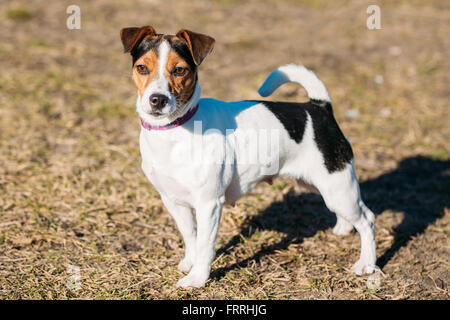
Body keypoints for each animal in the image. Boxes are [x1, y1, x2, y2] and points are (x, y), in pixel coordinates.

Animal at [120, 26, 380, 288]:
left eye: (179, 70)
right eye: (142, 68)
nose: (158, 99)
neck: (175, 130)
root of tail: (318, 108)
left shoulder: (209, 203)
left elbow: (204, 244)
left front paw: (197, 278)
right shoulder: (173, 201)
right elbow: (191, 235)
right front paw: (190, 263)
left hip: (337, 187)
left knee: (367, 219)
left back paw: (366, 264)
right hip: (321, 185)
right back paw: (343, 228)